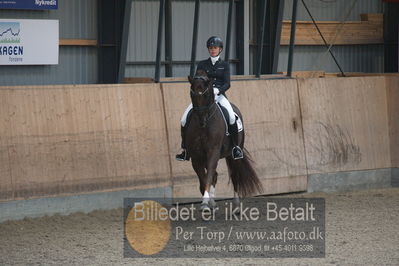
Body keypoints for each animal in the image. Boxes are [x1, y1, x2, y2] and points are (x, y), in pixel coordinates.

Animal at [187, 70, 264, 210]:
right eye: (192, 94)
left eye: (206, 94)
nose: (201, 119)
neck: (204, 126)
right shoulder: (196, 157)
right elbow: (204, 179)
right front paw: (208, 203)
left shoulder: (213, 152)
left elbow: (209, 176)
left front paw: (206, 203)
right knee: (215, 175)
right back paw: (213, 203)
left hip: (234, 155)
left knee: (234, 175)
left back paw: (237, 206)